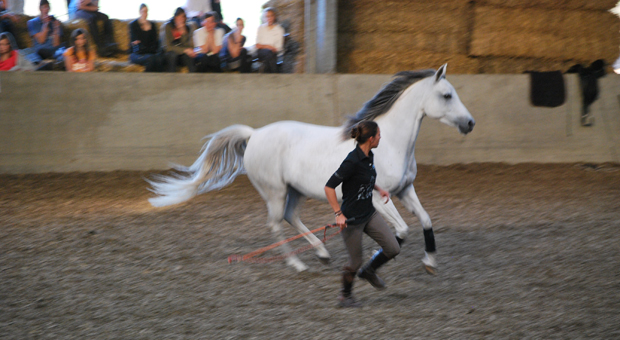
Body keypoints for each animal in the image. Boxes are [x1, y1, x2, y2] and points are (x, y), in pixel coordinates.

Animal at [148, 65, 478, 274]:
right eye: (447, 95)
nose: (470, 123)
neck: (391, 144)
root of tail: (254, 134)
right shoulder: (377, 199)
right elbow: (402, 231)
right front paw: (374, 260)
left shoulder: (405, 189)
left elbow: (425, 220)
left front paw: (430, 263)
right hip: (275, 192)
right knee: (276, 223)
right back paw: (298, 265)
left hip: (296, 191)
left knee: (291, 217)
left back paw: (322, 254)